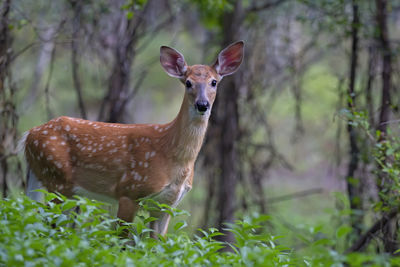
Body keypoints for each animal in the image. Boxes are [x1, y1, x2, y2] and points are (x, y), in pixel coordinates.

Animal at [21, 40, 244, 238]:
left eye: (214, 82)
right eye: (188, 82)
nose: (202, 104)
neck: (172, 154)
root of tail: (28, 135)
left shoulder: (166, 205)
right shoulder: (129, 190)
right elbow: (122, 241)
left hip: (47, 180)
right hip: (57, 179)